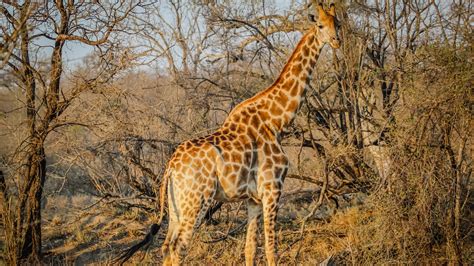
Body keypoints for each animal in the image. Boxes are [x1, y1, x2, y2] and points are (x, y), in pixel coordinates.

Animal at [118, 1, 340, 264]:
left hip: (176, 206)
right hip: (197, 201)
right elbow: (271, 249)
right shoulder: (273, 189)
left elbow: (250, 248)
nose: (337, 41)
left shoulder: (253, 199)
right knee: (178, 247)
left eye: (337, 23)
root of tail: (171, 166)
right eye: (320, 25)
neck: (277, 121)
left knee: (166, 246)